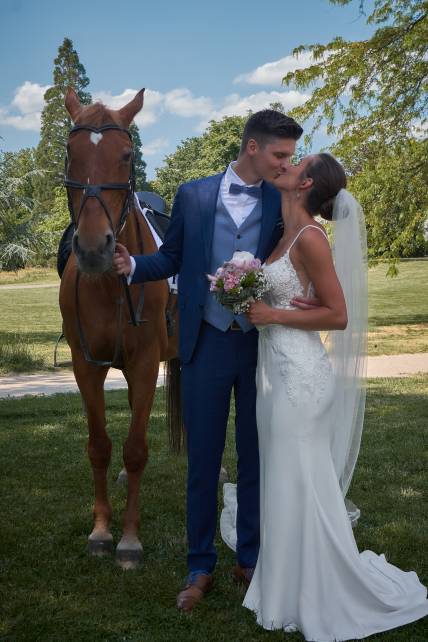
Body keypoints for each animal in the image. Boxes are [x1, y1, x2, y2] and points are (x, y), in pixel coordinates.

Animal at [59, 87, 182, 568]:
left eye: (126, 155)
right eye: (70, 152)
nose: (94, 247)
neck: (112, 283)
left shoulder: (146, 364)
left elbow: (134, 450)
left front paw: (129, 539)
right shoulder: (86, 366)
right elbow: (100, 446)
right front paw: (100, 531)